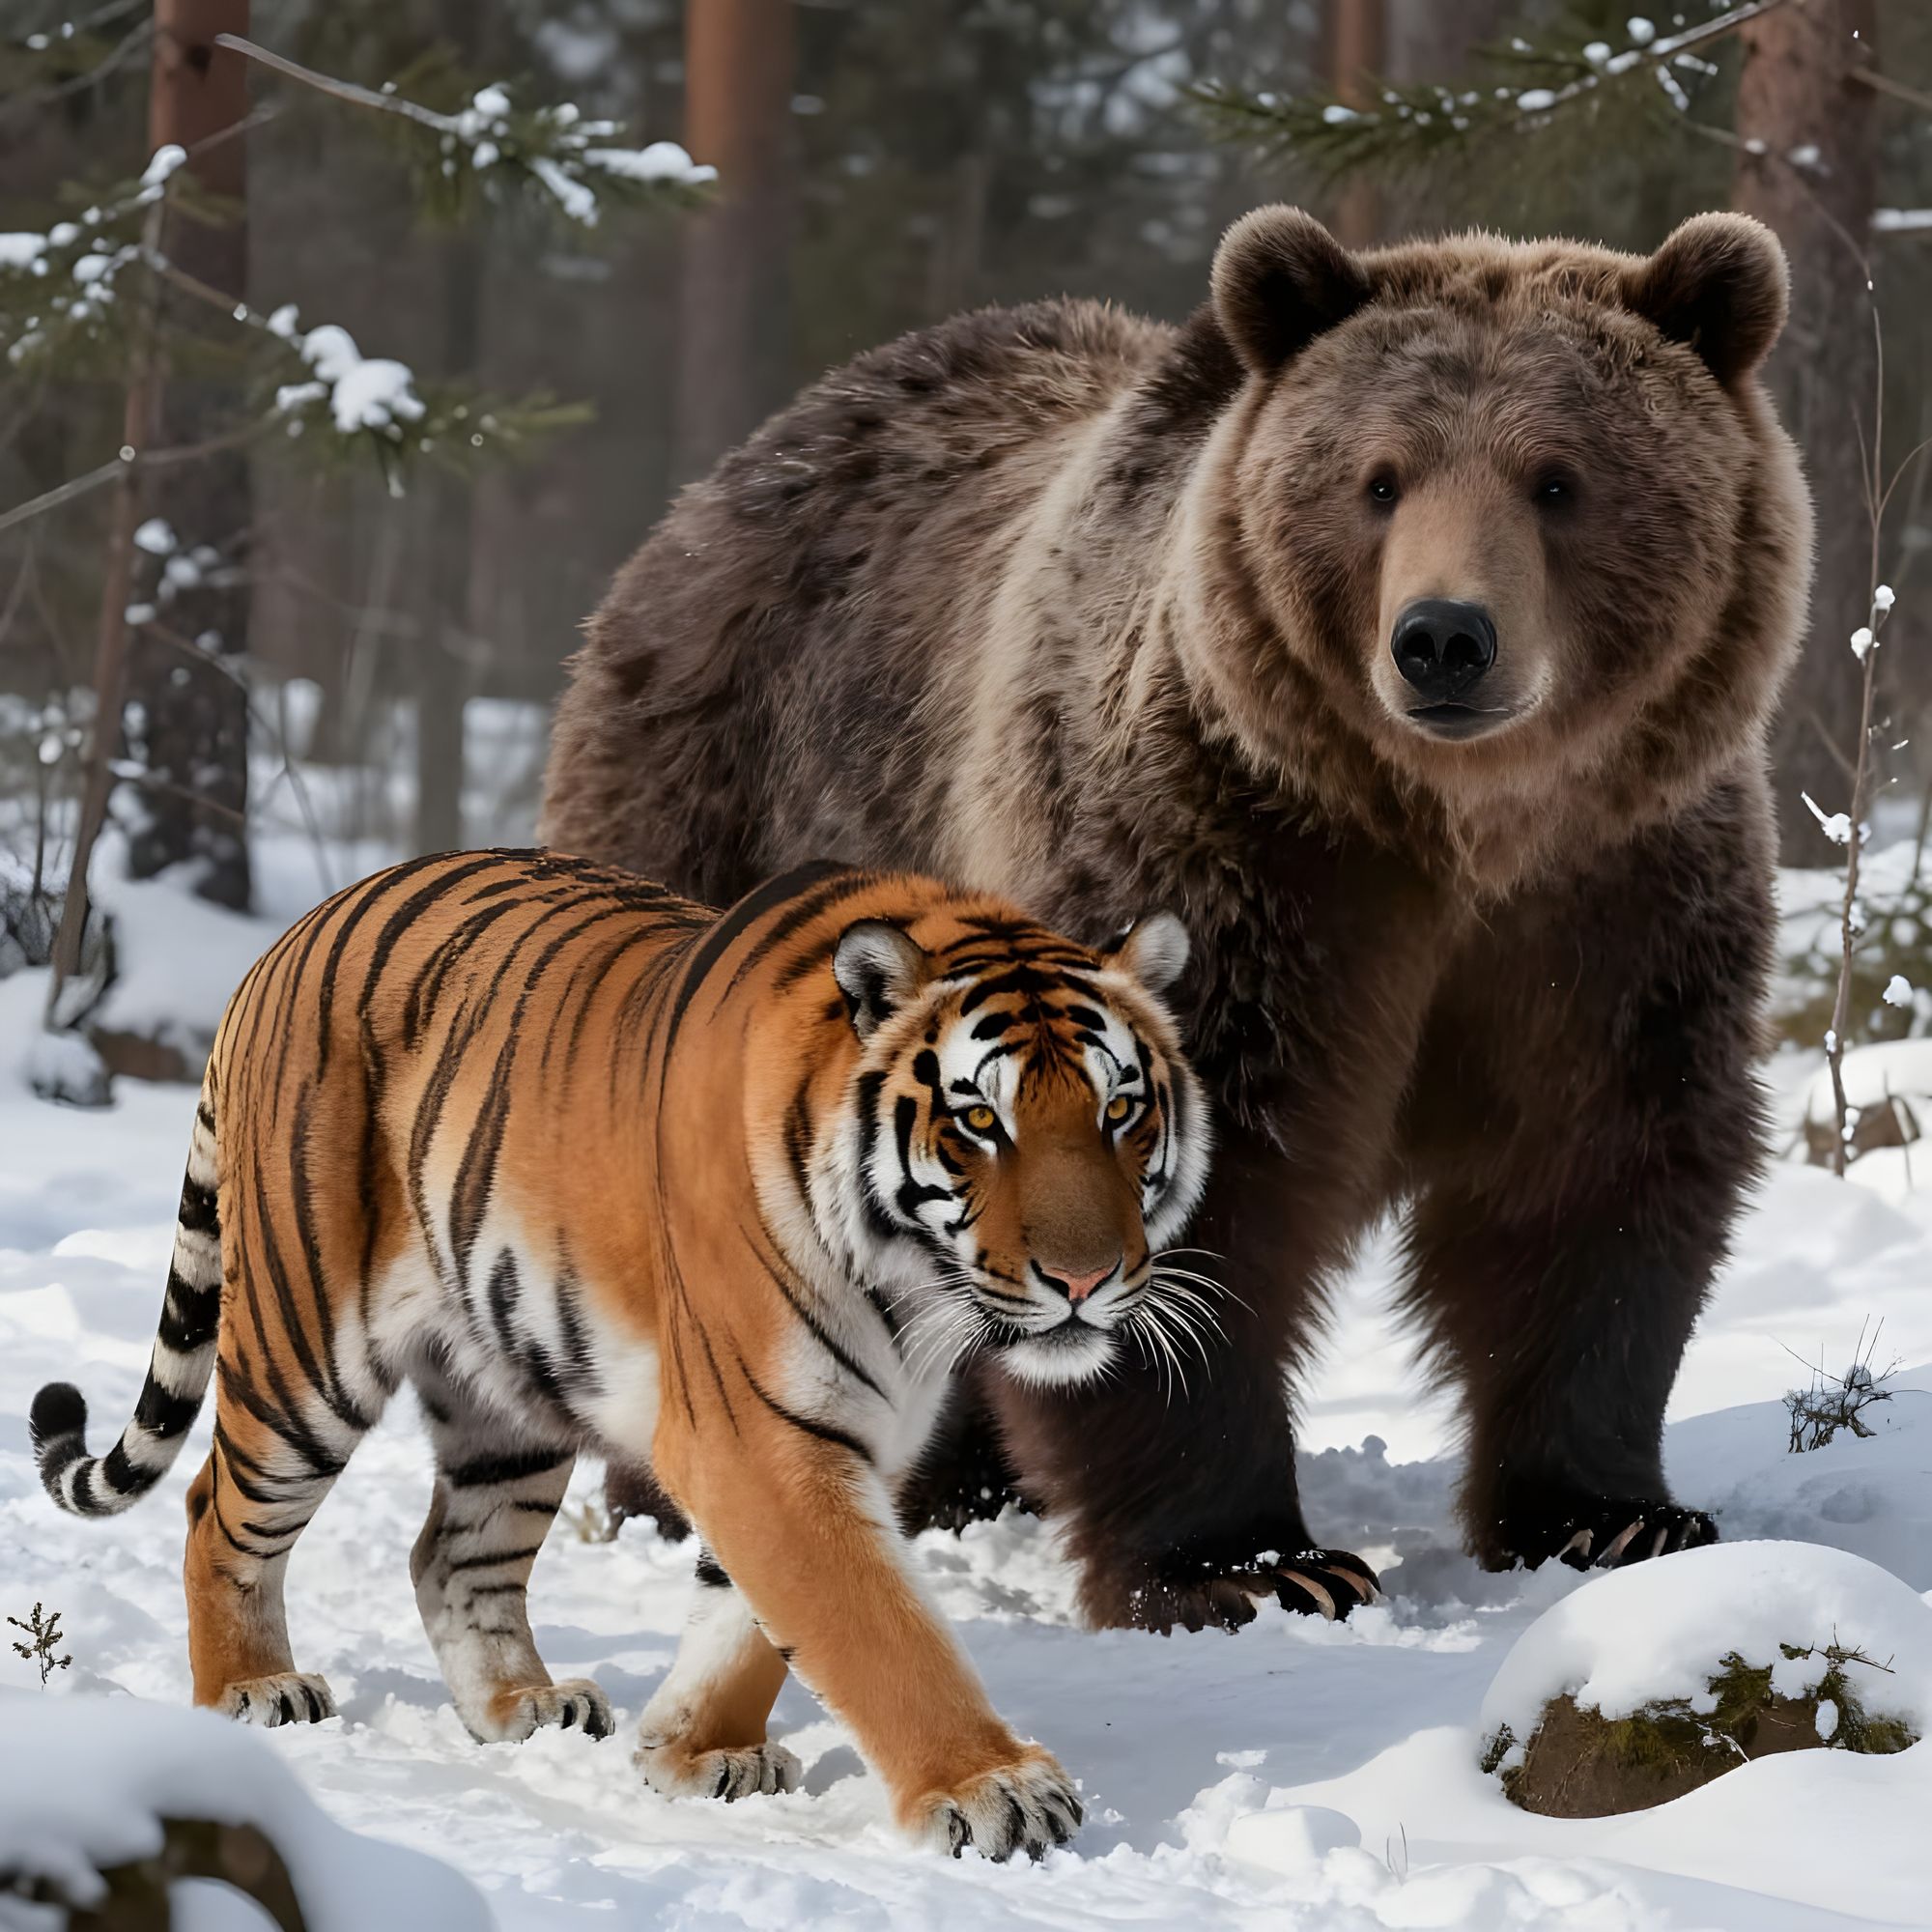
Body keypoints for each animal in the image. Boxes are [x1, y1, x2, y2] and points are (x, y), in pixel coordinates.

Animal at [30, 849, 1215, 1861]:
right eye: (978, 1121)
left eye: (1120, 1109)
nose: (1083, 1278)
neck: (914, 1286)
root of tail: (278, 947)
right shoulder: (754, 1432)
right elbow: (874, 1622)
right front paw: (991, 1787)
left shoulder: (846, 1432)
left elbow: (751, 1615)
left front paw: (694, 1751)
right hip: (302, 1352)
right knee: (213, 1509)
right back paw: (253, 1691)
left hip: (505, 1395)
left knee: (450, 1553)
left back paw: (524, 1706)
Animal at [540, 207, 1811, 1633]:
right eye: (1379, 479)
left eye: (1557, 478)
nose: (1442, 638)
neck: (1443, 829)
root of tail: (717, 489)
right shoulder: (1224, 857)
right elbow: (1201, 1174)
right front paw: (1251, 1562)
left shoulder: (1607, 901)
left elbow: (1594, 1162)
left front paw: (1610, 1515)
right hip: (725, 798)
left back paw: (962, 1480)